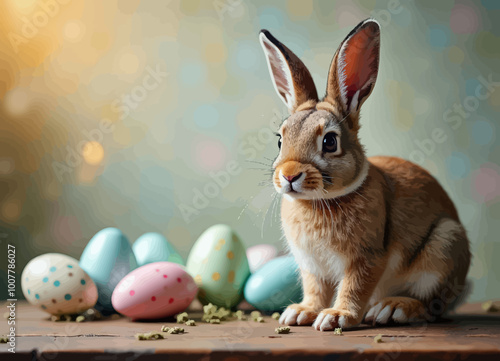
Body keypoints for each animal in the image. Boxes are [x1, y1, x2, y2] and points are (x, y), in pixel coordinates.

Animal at [260, 19, 470, 330]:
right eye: (280, 140)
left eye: (330, 142)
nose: (288, 175)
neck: (320, 201)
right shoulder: (312, 266)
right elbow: (315, 289)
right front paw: (302, 312)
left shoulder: (367, 258)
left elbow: (354, 287)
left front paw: (337, 317)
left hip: (444, 245)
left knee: (431, 305)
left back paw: (393, 308)